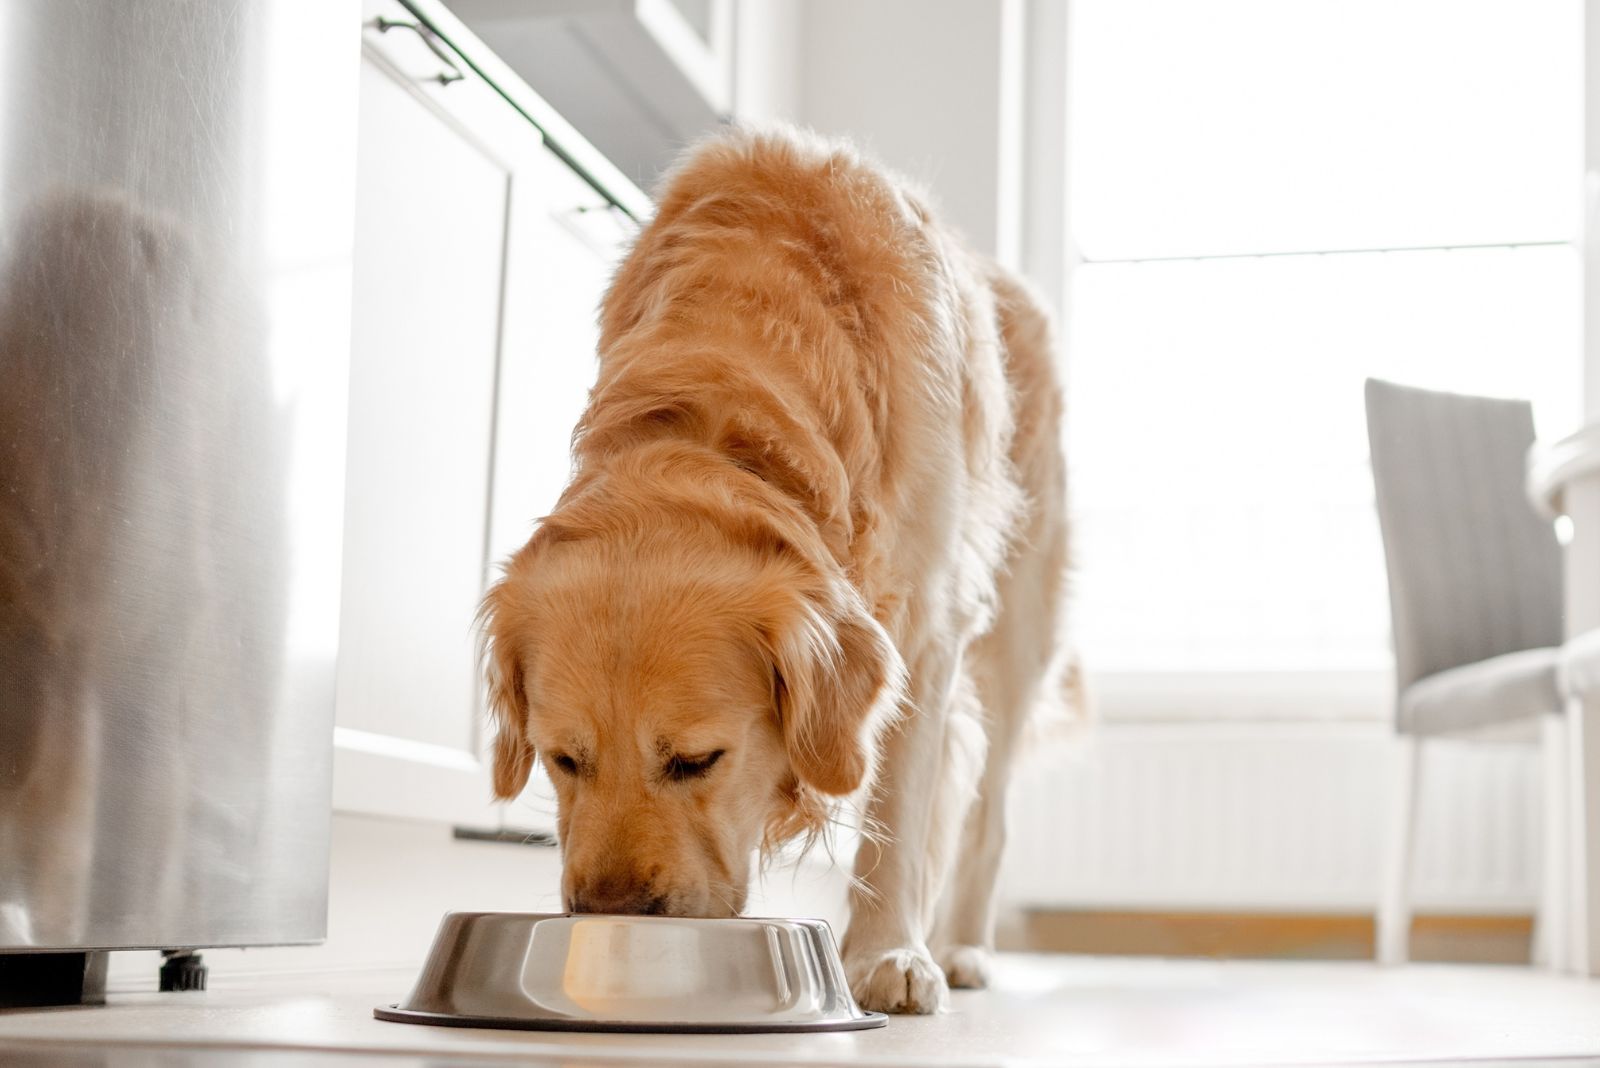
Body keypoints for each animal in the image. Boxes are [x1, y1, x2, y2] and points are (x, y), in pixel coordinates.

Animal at [476, 120, 1075, 1016]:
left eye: (698, 760)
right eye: (563, 759)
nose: (610, 912)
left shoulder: (929, 625)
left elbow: (900, 811)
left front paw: (889, 956)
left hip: (1014, 627)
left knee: (988, 810)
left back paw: (962, 947)